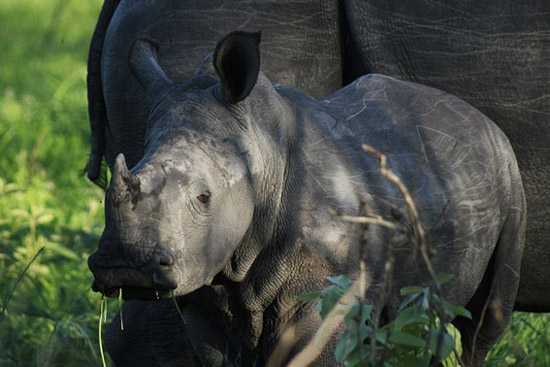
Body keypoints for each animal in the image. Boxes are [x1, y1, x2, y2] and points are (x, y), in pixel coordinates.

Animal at [89, 32, 528, 367]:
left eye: (204, 196)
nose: (123, 265)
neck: (261, 157)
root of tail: (479, 117)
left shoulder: (327, 287)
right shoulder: (203, 283)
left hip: (510, 175)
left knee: (483, 323)